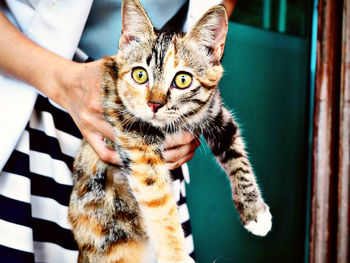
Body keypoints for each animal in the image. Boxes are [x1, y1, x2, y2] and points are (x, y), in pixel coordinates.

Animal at [67, 0, 270, 263]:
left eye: (182, 80)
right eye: (140, 74)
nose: (154, 104)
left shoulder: (216, 113)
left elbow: (238, 158)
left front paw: (255, 211)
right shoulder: (136, 139)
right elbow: (159, 201)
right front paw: (177, 256)